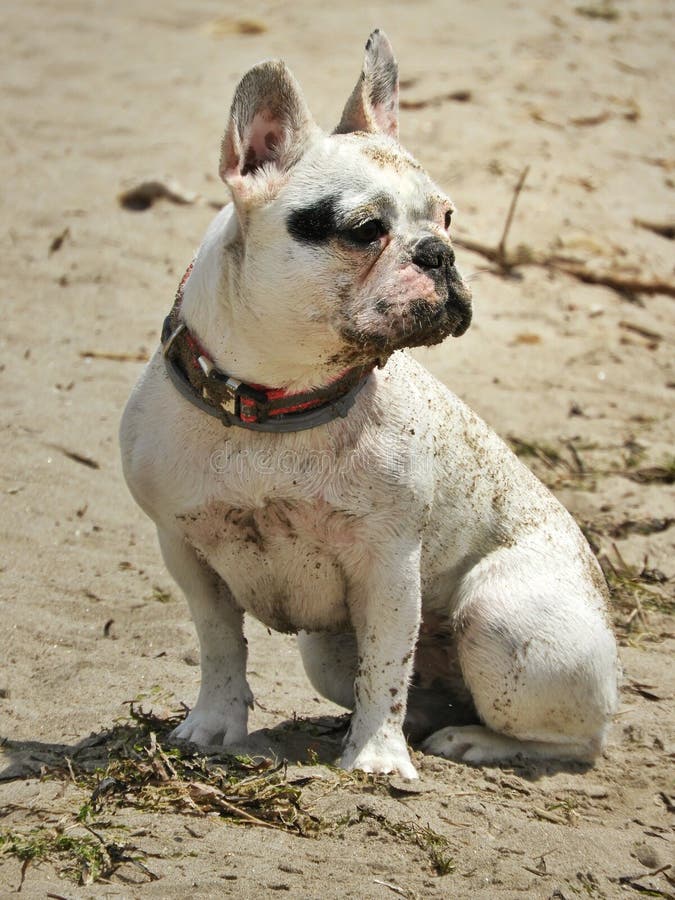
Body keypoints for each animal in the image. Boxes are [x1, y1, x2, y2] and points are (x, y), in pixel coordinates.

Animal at [120, 31, 616, 776]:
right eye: (363, 230)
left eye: (447, 217)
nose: (438, 253)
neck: (279, 402)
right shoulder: (186, 549)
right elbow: (219, 645)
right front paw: (212, 724)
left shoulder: (388, 563)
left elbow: (386, 662)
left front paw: (377, 759)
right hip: (325, 650)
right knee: (413, 691)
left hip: (501, 620)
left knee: (573, 738)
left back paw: (475, 741)